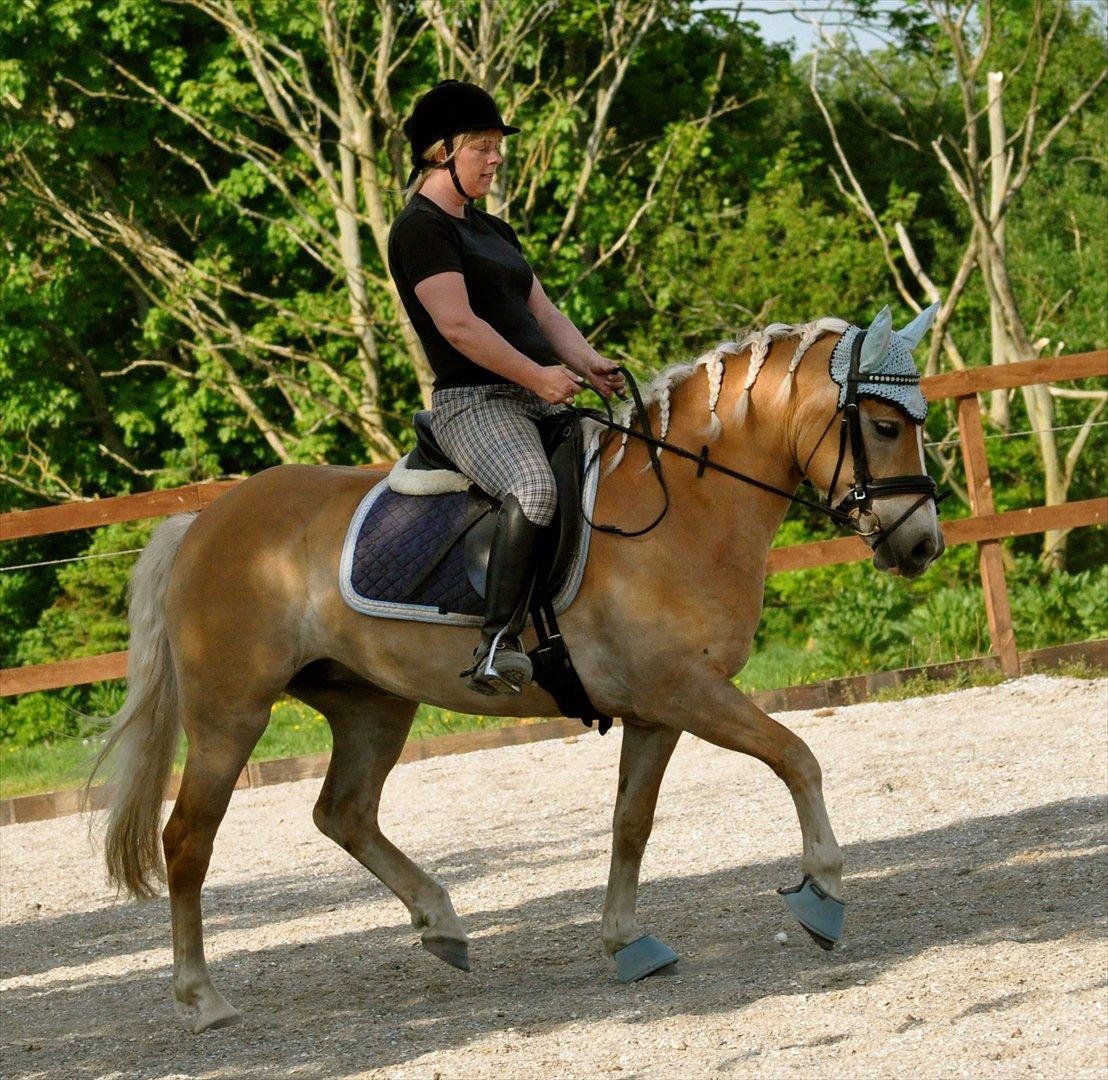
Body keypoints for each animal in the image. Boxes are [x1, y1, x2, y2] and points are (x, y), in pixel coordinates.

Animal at [90, 301, 948, 1032]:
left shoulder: (657, 709)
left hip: (372, 703)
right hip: (230, 715)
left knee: (344, 812)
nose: (922, 545)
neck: (686, 510)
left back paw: (441, 925)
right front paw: (823, 893)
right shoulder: (688, 691)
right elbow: (797, 758)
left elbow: (632, 821)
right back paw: (202, 999)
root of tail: (203, 521)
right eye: (881, 424)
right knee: (188, 841)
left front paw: (626, 942)